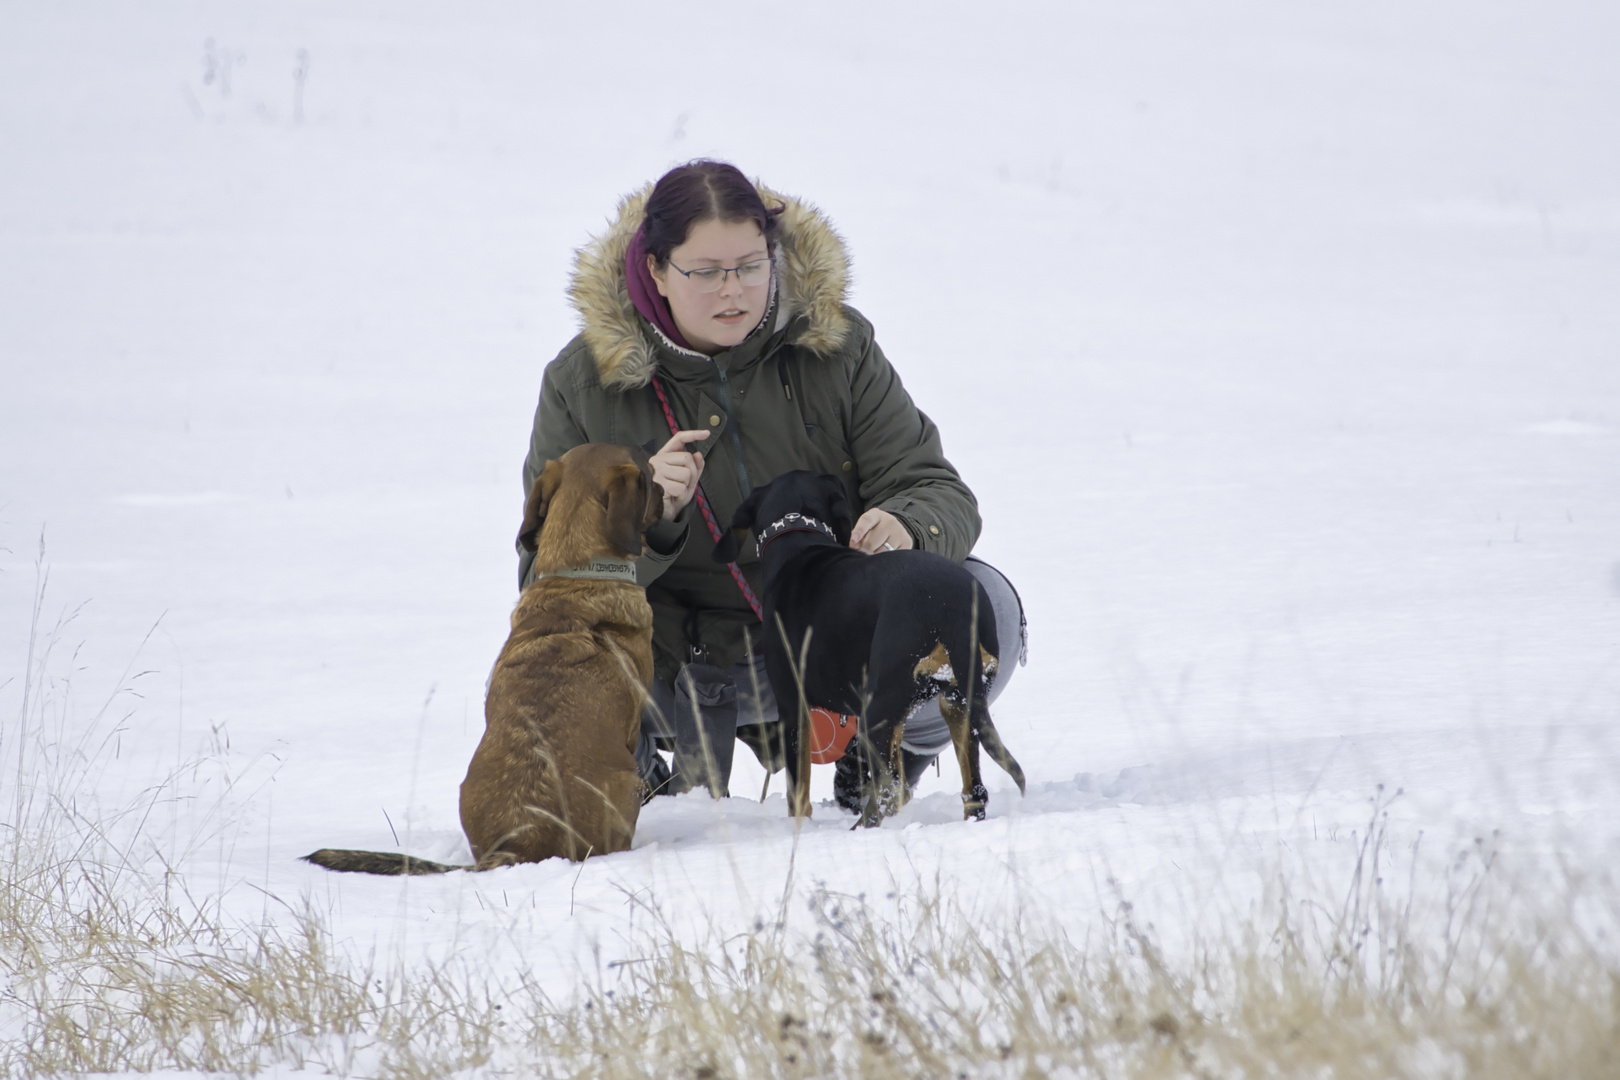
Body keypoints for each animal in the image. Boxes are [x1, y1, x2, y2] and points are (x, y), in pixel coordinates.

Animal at [712, 472, 1023, 829]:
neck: (799, 541)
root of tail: (952, 607)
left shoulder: (793, 707)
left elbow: (798, 794)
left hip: (878, 709)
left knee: (888, 791)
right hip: (957, 701)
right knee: (972, 790)